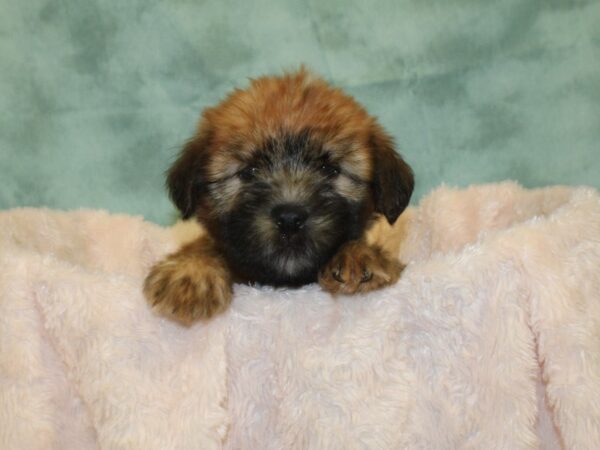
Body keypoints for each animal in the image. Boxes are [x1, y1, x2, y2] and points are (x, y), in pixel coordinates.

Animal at [145, 67, 412, 324]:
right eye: (249, 171)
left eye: (329, 169)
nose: (290, 219)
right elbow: (205, 245)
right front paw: (192, 272)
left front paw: (358, 256)